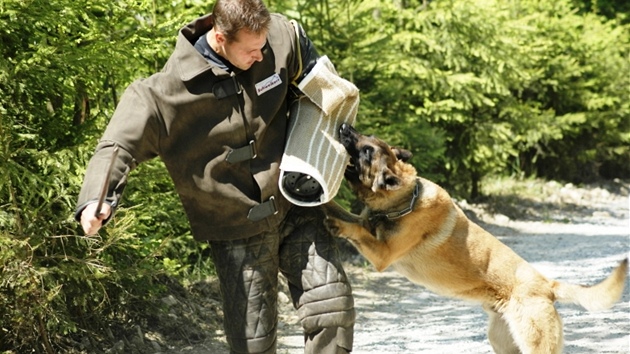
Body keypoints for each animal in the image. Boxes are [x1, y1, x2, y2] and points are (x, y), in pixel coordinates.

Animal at [324, 123, 628, 352]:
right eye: (366, 137)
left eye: (366, 151)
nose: (344, 126)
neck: (405, 199)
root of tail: (548, 285)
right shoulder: (368, 225)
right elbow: (343, 211)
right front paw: (325, 204)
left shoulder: (382, 253)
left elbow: (354, 228)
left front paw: (336, 224)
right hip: (503, 341)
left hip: (534, 344)